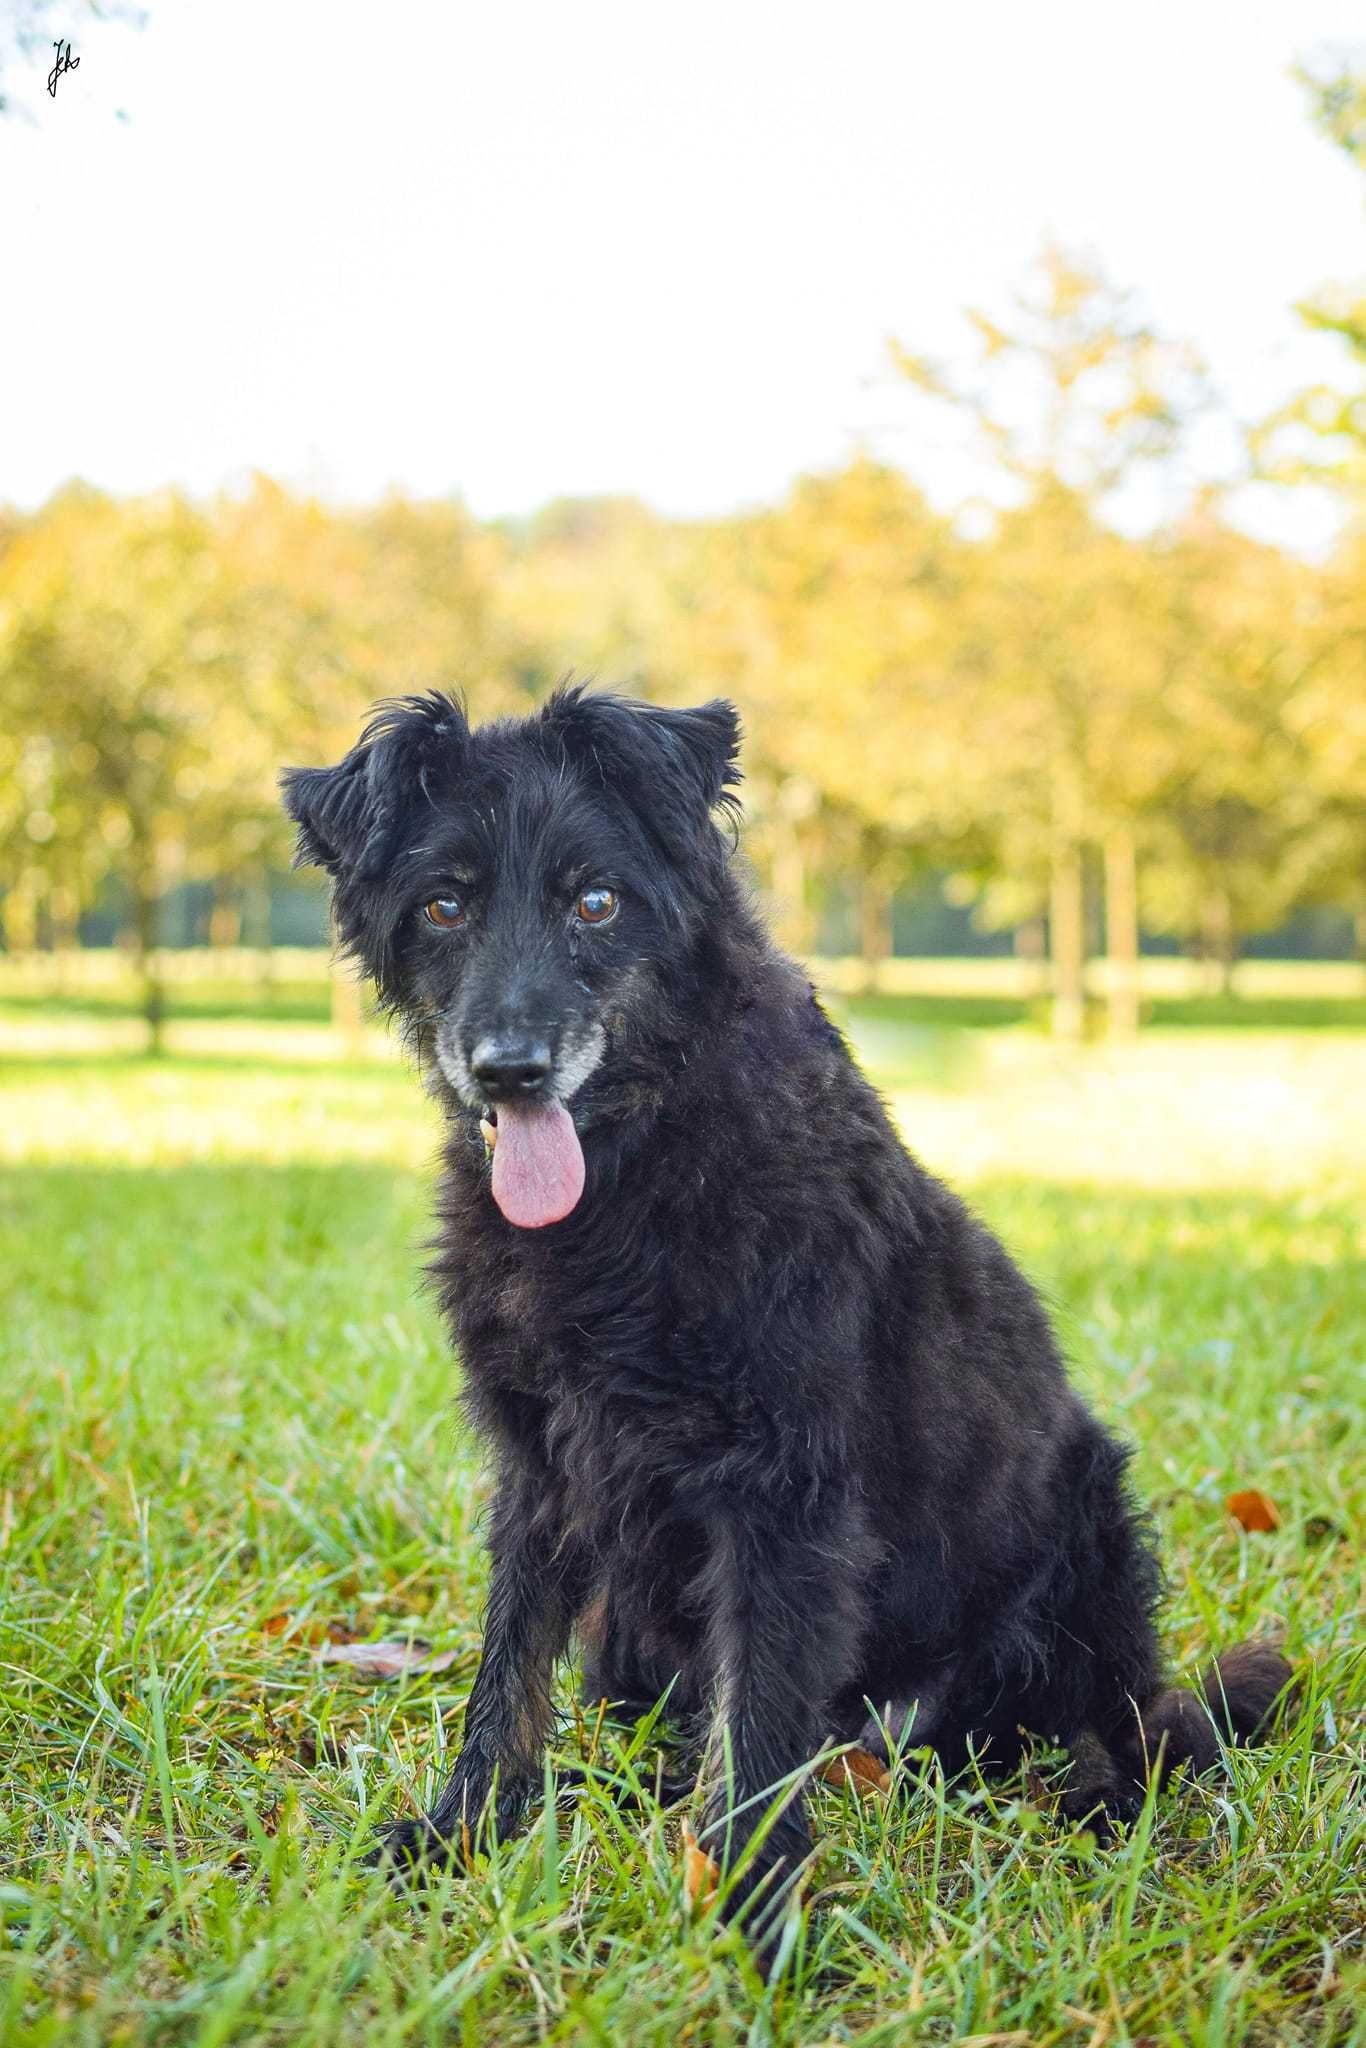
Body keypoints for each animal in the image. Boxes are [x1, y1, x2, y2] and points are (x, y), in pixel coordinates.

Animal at [286, 684, 1294, 1949]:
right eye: (445, 904)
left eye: (595, 899)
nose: (509, 1071)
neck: (634, 1176)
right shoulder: (542, 1467)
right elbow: (507, 1669)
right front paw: (463, 1829)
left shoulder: (782, 1489)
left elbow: (758, 1720)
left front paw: (754, 1912)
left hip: (1088, 1520)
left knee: (1141, 1728)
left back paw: (1098, 1796)